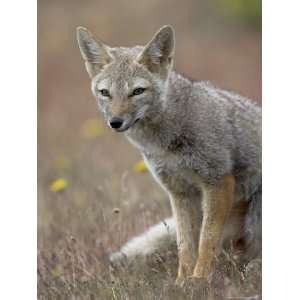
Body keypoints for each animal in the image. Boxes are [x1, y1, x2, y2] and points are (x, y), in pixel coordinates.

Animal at [77, 25, 260, 286]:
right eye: (105, 93)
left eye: (137, 91)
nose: (115, 122)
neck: (165, 142)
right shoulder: (179, 192)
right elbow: (185, 245)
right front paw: (182, 283)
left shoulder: (218, 181)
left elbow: (206, 241)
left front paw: (199, 280)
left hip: (255, 216)